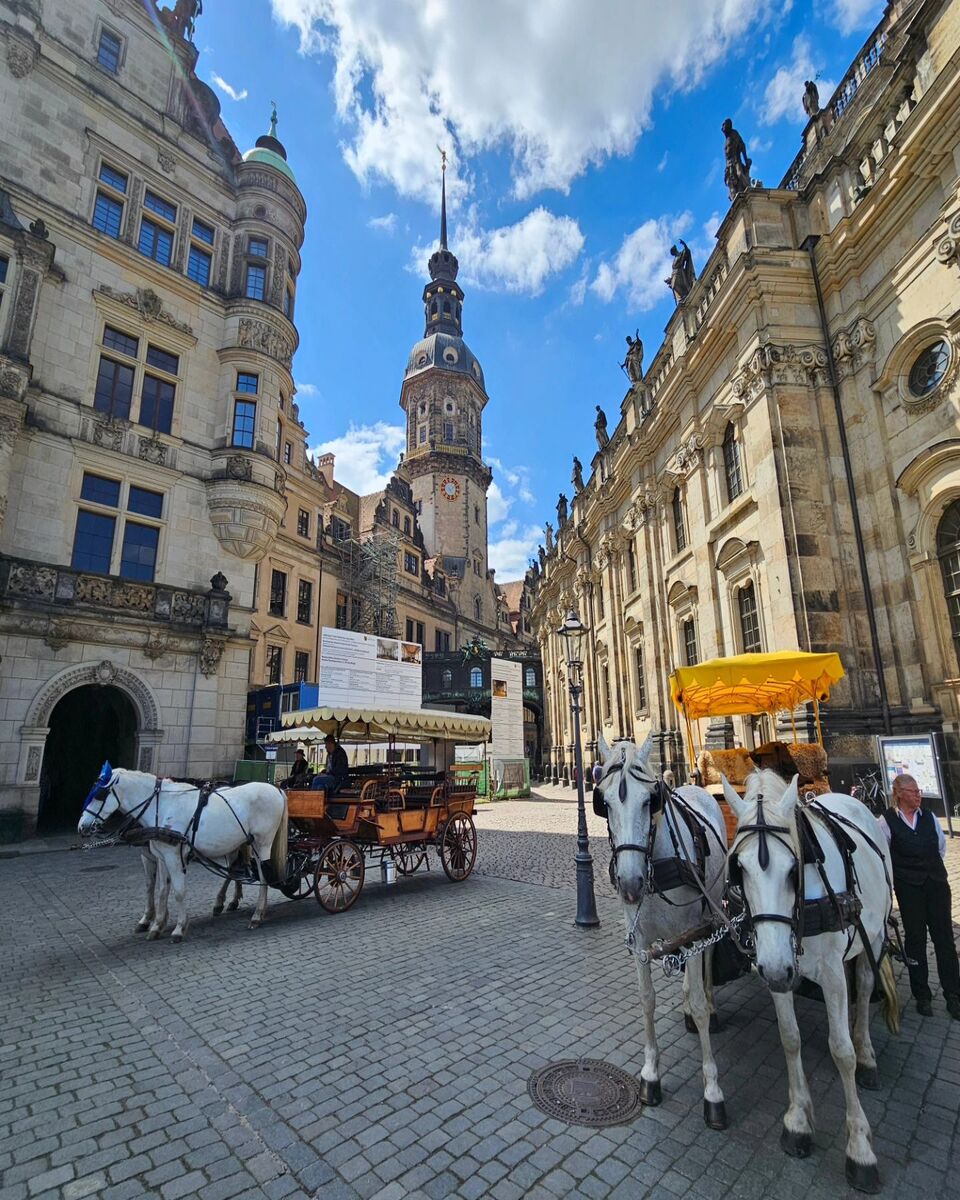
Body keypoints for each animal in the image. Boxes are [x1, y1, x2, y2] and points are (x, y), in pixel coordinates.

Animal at [76, 763, 286, 940]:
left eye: (100, 794)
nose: (81, 826)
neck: (162, 805)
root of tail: (277, 789)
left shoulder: (173, 856)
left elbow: (178, 891)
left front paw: (178, 928)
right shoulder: (160, 856)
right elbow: (160, 889)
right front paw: (156, 924)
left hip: (262, 842)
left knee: (263, 875)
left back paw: (256, 915)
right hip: (242, 843)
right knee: (238, 869)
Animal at [600, 724, 729, 1128]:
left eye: (649, 801)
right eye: (602, 803)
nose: (629, 883)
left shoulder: (695, 928)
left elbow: (700, 1003)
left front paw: (713, 1092)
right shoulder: (639, 941)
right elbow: (647, 999)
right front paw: (650, 1076)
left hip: (709, 913)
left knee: (706, 962)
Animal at [724, 772, 897, 1195]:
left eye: (793, 869)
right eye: (738, 869)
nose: (775, 968)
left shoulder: (828, 970)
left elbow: (841, 1051)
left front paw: (860, 1149)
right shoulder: (776, 965)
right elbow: (790, 1038)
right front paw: (799, 1122)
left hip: (874, 935)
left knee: (864, 986)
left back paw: (868, 1054)